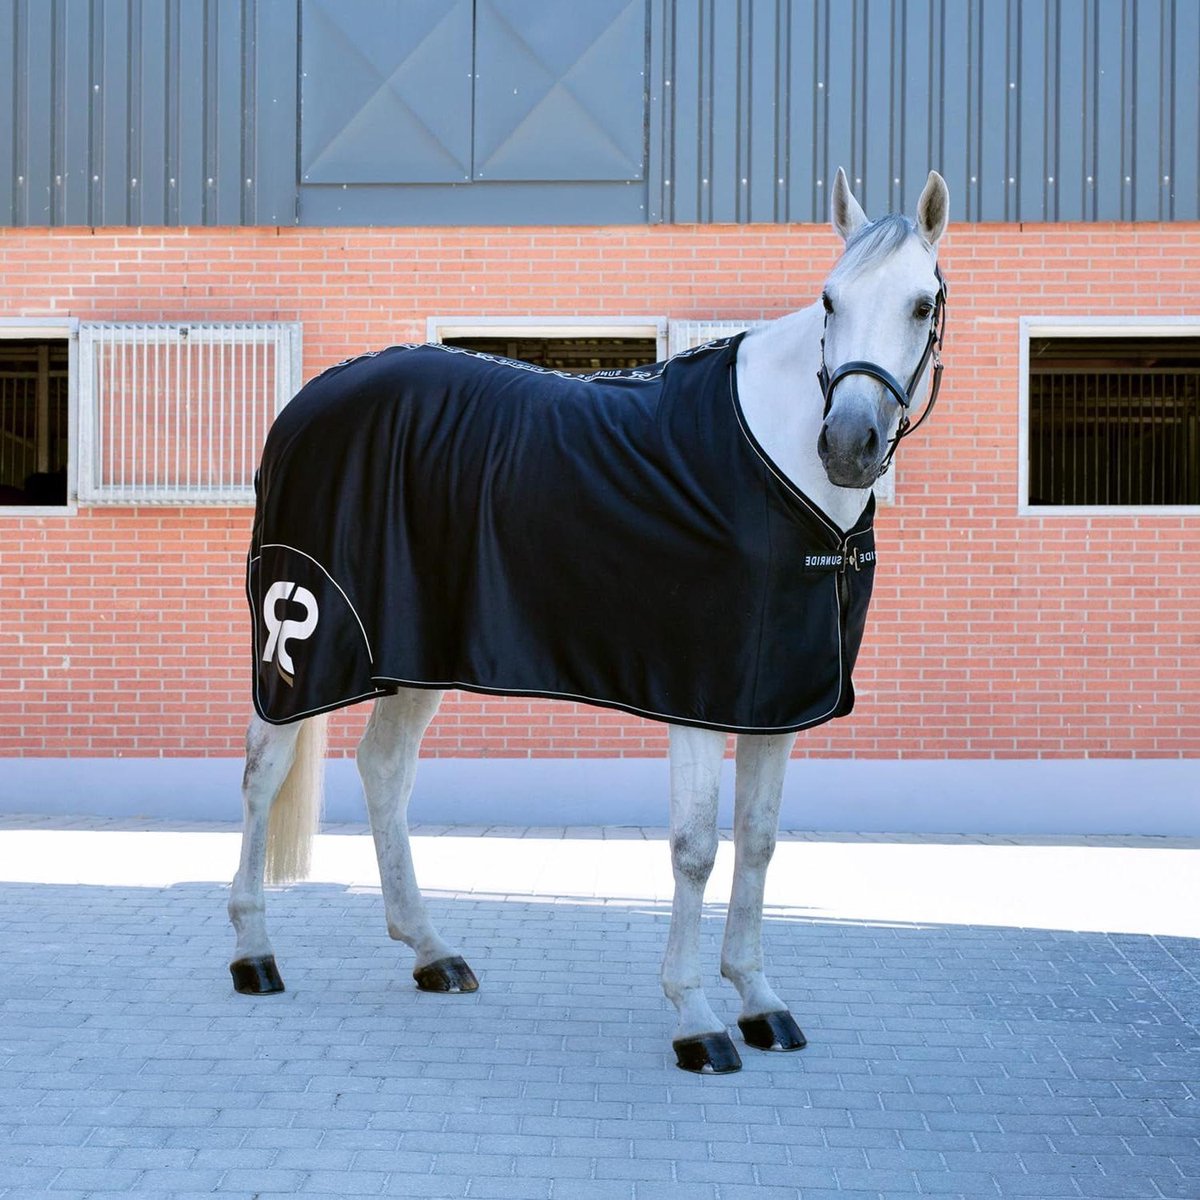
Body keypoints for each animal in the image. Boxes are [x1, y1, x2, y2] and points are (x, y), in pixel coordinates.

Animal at [229, 168, 950, 1074]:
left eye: (922, 304)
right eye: (829, 299)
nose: (848, 445)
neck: (773, 466)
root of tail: (305, 407)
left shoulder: (775, 702)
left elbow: (758, 841)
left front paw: (760, 1001)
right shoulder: (699, 694)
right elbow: (695, 849)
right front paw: (697, 1019)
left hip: (416, 654)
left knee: (384, 769)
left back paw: (432, 952)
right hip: (300, 642)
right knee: (263, 771)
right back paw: (254, 954)